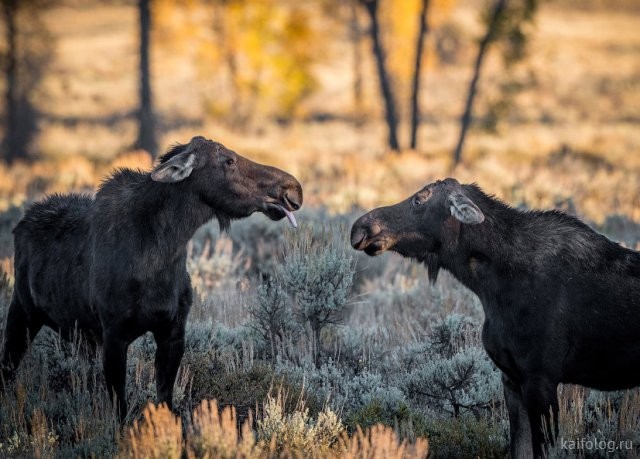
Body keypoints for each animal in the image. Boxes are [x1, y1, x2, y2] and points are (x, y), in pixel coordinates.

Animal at [0, 136, 302, 420]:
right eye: (228, 160)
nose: (293, 188)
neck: (163, 255)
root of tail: (19, 225)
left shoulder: (173, 331)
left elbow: (165, 400)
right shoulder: (114, 334)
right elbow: (120, 409)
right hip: (23, 311)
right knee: (7, 368)